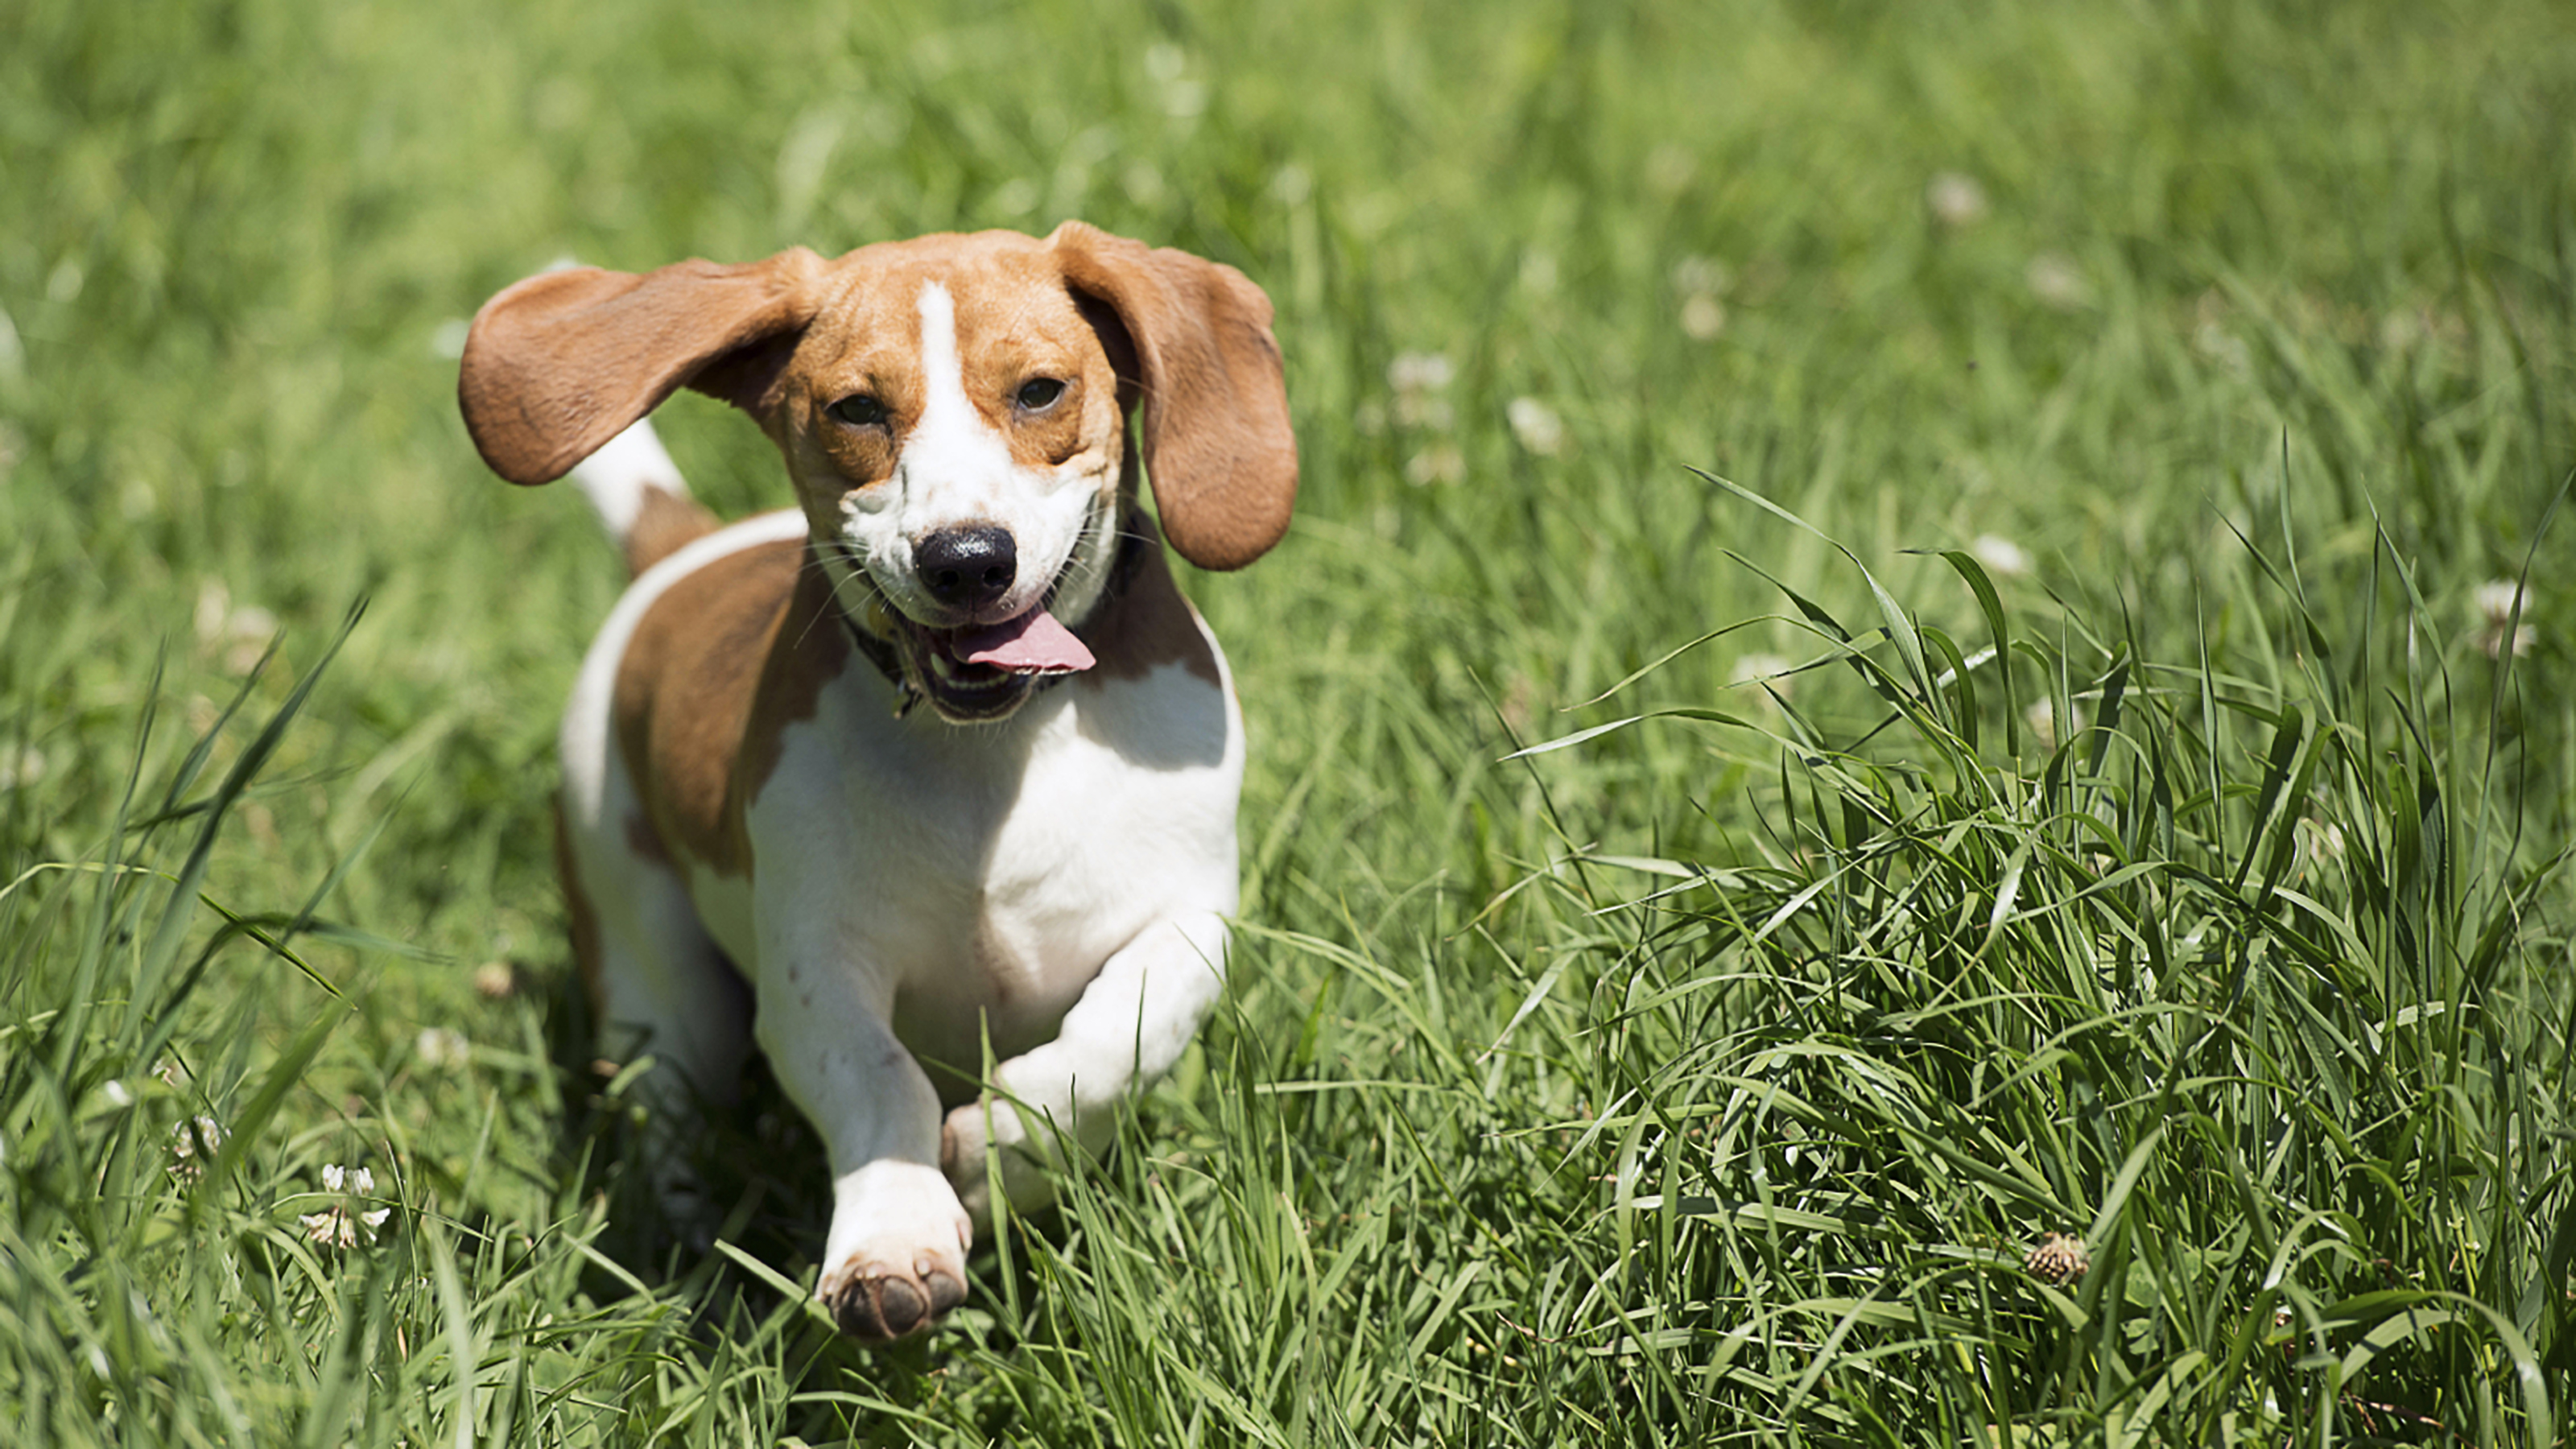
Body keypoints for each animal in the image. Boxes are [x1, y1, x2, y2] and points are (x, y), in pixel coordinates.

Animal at [456, 220, 1298, 1340]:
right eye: (856, 408)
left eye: (1040, 391)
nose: (966, 559)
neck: (993, 752)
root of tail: (680, 553)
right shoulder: (815, 971)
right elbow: (879, 1081)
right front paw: (892, 1234)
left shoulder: (1190, 913)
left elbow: (1115, 1037)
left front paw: (1003, 1150)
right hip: (656, 975)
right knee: (670, 1113)